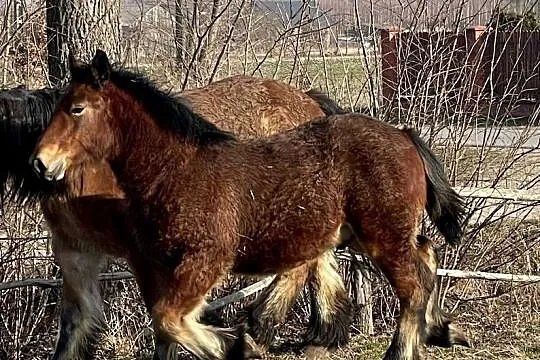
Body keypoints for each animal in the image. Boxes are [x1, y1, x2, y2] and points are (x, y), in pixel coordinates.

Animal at [30, 50, 468, 360]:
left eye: (76, 108)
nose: (41, 163)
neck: (178, 170)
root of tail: (403, 134)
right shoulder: (157, 266)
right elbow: (163, 329)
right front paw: (242, 341)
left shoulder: (205, 260)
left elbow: (170, 320)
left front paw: (239, 345)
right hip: (361, 234)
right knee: (426, 255)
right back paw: (440, 329)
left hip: (382, 235)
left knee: (414, 284)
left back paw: (400, 349)